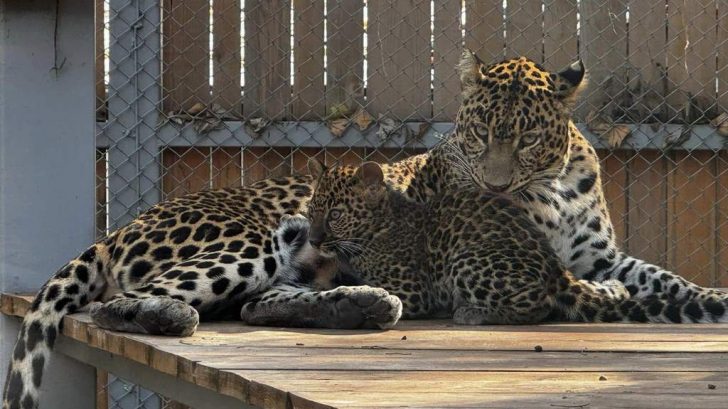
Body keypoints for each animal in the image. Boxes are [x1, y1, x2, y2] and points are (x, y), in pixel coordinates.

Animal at [299, 158, 710, 325]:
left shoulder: (414, 292)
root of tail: (553, 269)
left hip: (466, 260)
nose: (315, 240)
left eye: (335, 214)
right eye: (312, 210)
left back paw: (471, 313)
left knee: (539, 308)